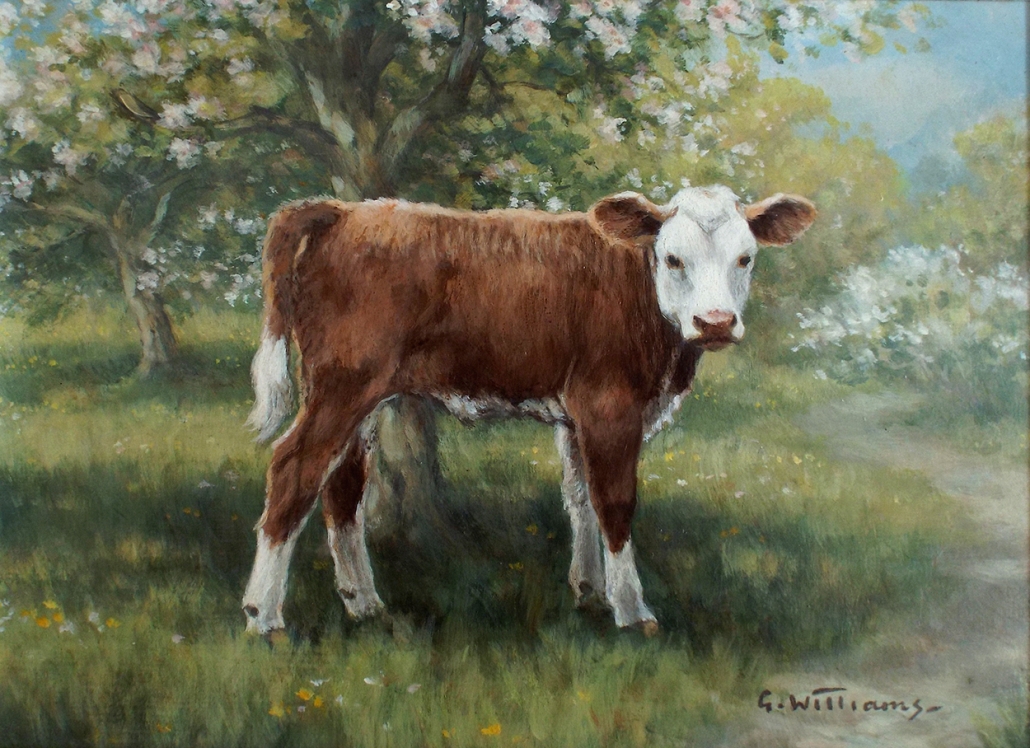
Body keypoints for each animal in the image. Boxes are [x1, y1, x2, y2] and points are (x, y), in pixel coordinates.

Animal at [241, 185, 816, 635]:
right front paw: (631, 610)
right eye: (673, 258)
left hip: (360, 398)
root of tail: (343, 210)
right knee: (294, 470)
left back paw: (364, 604)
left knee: (343, 487)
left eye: (746, 258)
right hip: (343, 386)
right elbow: (615, 502)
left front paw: (589, 592)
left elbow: (580, 497)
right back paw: (263, 616)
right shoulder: (610, 406)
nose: (715, 322)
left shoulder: (575, 417)